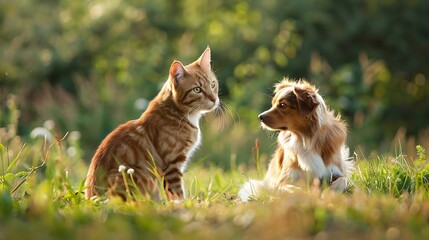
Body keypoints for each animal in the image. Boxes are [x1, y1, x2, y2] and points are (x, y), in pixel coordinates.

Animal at [84, 47, 219, 201]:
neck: (178, 113)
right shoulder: (172, 165)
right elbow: (177, 193)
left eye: (213, 84)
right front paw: (184, 204)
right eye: (197, 90)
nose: (214, 99)